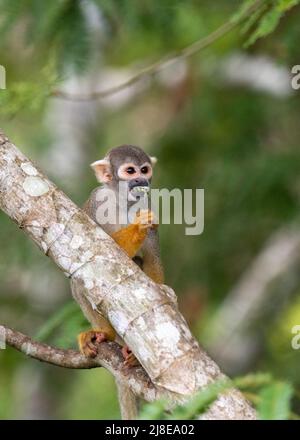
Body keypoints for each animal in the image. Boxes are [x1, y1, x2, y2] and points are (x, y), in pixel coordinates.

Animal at [71, 144, 163, 364]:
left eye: (144, 170)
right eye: (130, 171)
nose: (141, 180)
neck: (123, 202)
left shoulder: (148, 205)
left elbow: (152, 263)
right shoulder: (97, 202)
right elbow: (100, 249)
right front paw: (139, 225)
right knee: (79, 280)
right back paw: (105, 333)